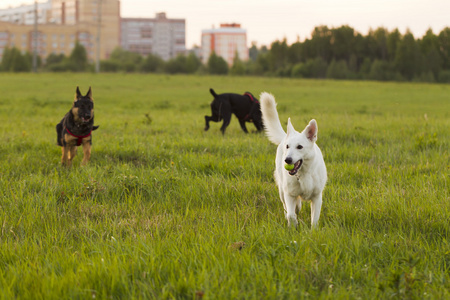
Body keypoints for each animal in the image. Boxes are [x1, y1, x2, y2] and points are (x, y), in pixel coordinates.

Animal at [260, 92, 326, 227]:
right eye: (287, 146)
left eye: (299, 147)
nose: (287, 160)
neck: (304, 174)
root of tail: (285, 136)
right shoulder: (289, 194)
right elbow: (291, 214)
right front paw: (294, 225)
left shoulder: (317, 197)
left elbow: (314, 220)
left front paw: (313, 231)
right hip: (281, 190)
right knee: (288, 207)